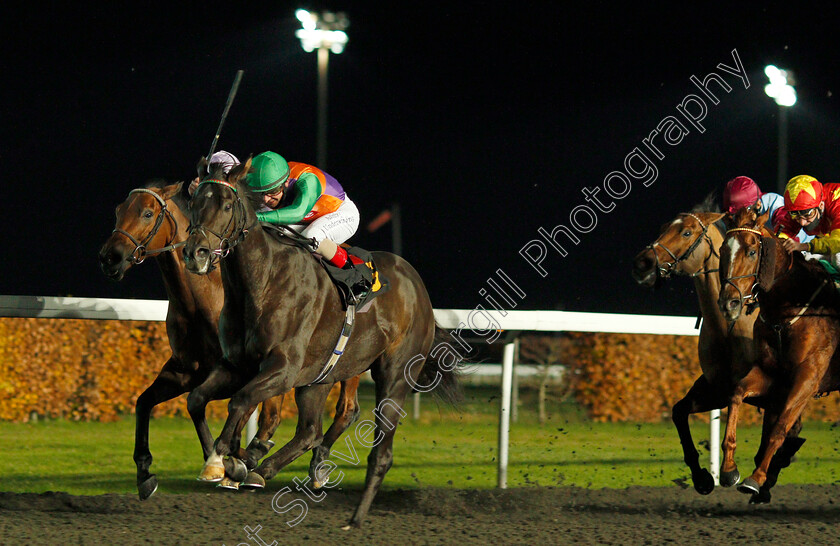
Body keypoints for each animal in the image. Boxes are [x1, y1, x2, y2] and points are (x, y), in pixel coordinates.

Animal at [98, 181, 360, 496]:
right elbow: (150, 402)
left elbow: (238, 408)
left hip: (345, 364)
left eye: (147, 213)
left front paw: (226, 464)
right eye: (118, 210)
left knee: (345, 410)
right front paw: (147, 472)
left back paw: (313, 464)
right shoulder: (186, 370)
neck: (202, 298)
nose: (110, 257)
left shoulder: (243, 369)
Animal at [183, 158, 460, 528]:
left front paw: (223, 459)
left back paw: (355, 518)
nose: (195, 253)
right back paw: (265, 470)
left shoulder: (283, 369)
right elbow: (197, 399)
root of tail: (418, 288)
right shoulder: (236, 365)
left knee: (380, 453)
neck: (262, 282)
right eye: (194, 203)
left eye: (227, 205)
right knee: (311, 430)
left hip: (394, 375)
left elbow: (240, 401)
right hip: (319, 377)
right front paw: (225, 460)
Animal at [632, 201, 804, 502]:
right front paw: (702, 477)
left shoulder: (769, 386)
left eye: (687, 232)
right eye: (664, 227)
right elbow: (679, 411)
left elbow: (778, 431)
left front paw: (743, 474)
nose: (643, 262)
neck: (729, 326)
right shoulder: (717, 387)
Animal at [716, 204, 840, 492]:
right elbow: (736, 394)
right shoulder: (769, 373)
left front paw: (757, 478)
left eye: (752, 251)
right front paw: (729, 469)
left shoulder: (808, 377)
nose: (729, 303)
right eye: (723, 251)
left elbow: (780, 426)